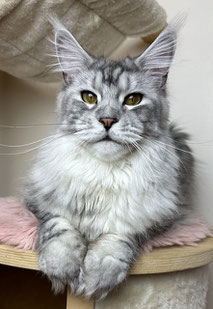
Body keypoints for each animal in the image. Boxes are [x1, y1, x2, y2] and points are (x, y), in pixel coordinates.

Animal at [22, 17, 193, 298]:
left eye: (133, 99)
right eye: (89, 97)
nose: (107, 120)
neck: (105, 172)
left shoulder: (161, 216)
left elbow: (118, 238)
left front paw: (95, 277)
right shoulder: (37, 201)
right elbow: (60, 227)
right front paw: (62, 267)